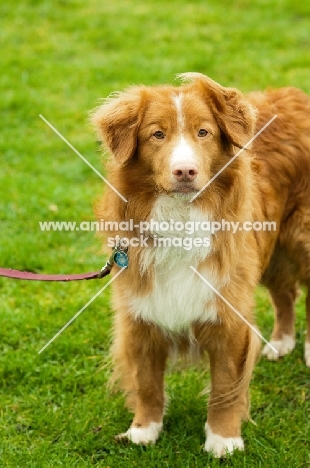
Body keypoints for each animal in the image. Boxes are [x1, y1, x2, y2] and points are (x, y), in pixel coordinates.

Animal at [91, 74, 310, 458]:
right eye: (157, 134)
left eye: (203, 132)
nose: (185, 171)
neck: (180, 215)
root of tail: (295, 94)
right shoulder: (140, 313)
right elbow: (147, 382)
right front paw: (143, 431)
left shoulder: (229, 313)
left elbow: (225, 386)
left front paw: (223, 440)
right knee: (285, 293)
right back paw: (282, 342)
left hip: (301, 237)